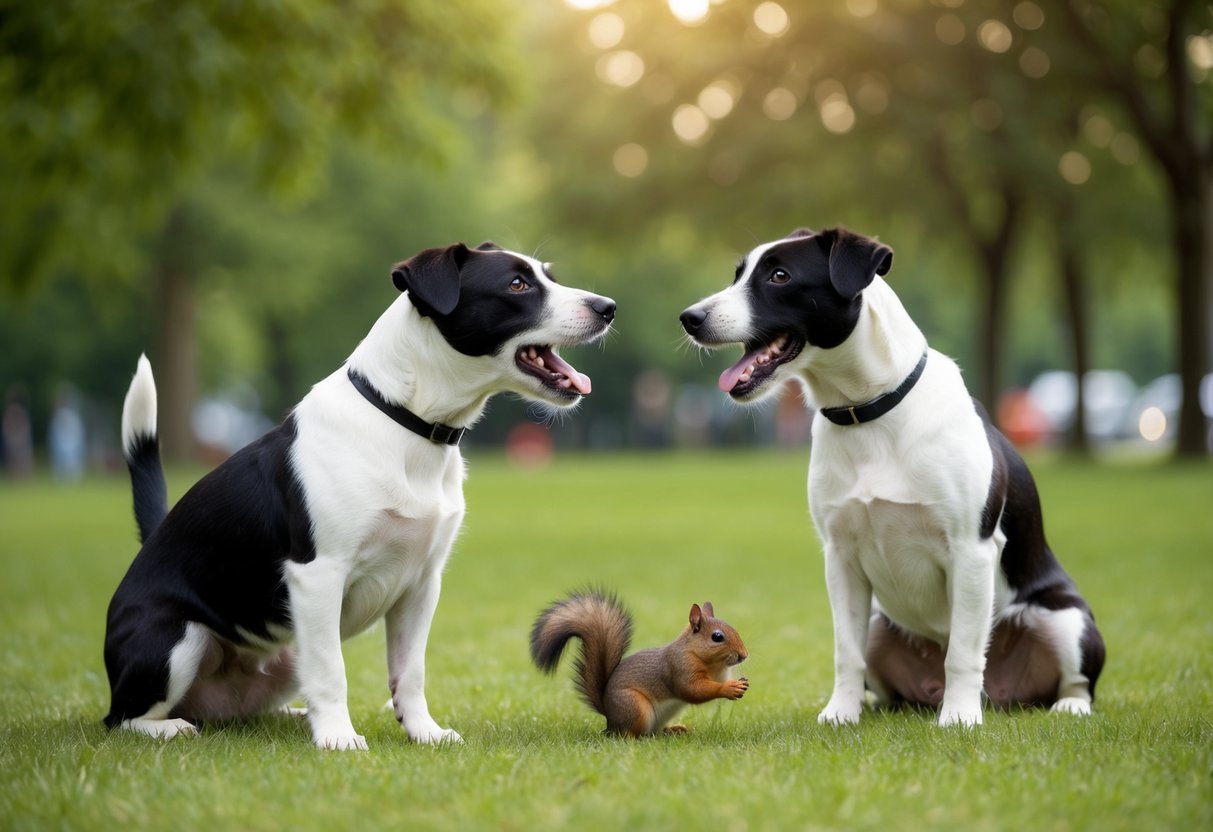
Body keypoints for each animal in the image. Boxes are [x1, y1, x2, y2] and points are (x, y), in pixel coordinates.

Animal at [530, 589, 749, 737]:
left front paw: (739, 685)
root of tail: (609, 717)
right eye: (717, 637)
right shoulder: (680, 667)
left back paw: (673, 730)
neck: (714, 664)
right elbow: (693, 690)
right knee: (628, 735)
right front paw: (729, 688)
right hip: (635, 707)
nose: (744, 655)